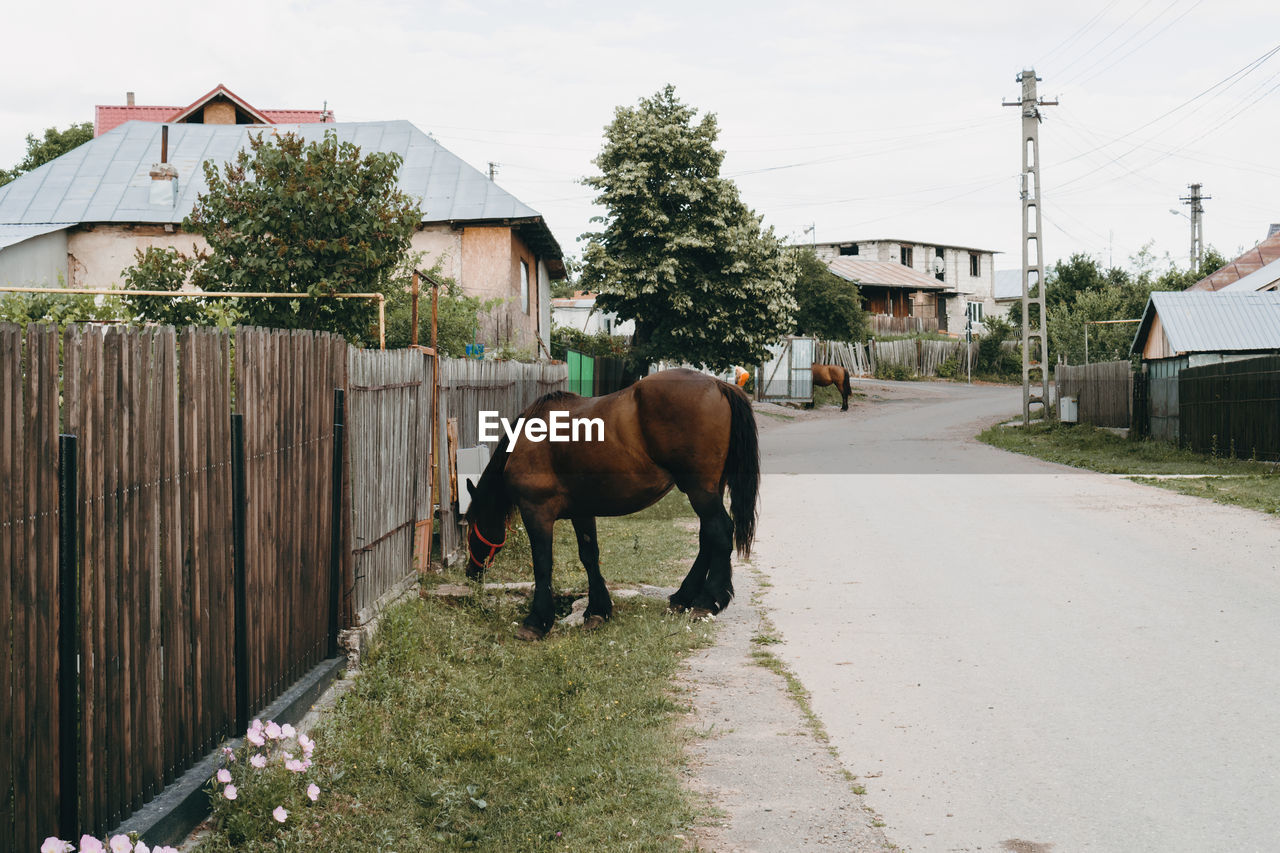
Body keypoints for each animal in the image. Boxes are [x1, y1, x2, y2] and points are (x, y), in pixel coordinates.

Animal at [463, 366, 752, 637]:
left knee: (720, 532)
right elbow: (589, 556)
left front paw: (537, 621)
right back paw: (683, 597)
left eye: (470, 528)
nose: (471, 572)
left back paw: (706, 602)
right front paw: (598, 611)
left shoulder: (536, 511)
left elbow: (543, 563)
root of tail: (718, 384)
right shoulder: (581, 511)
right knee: (707, 538)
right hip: (706, 490)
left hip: (699, 490)